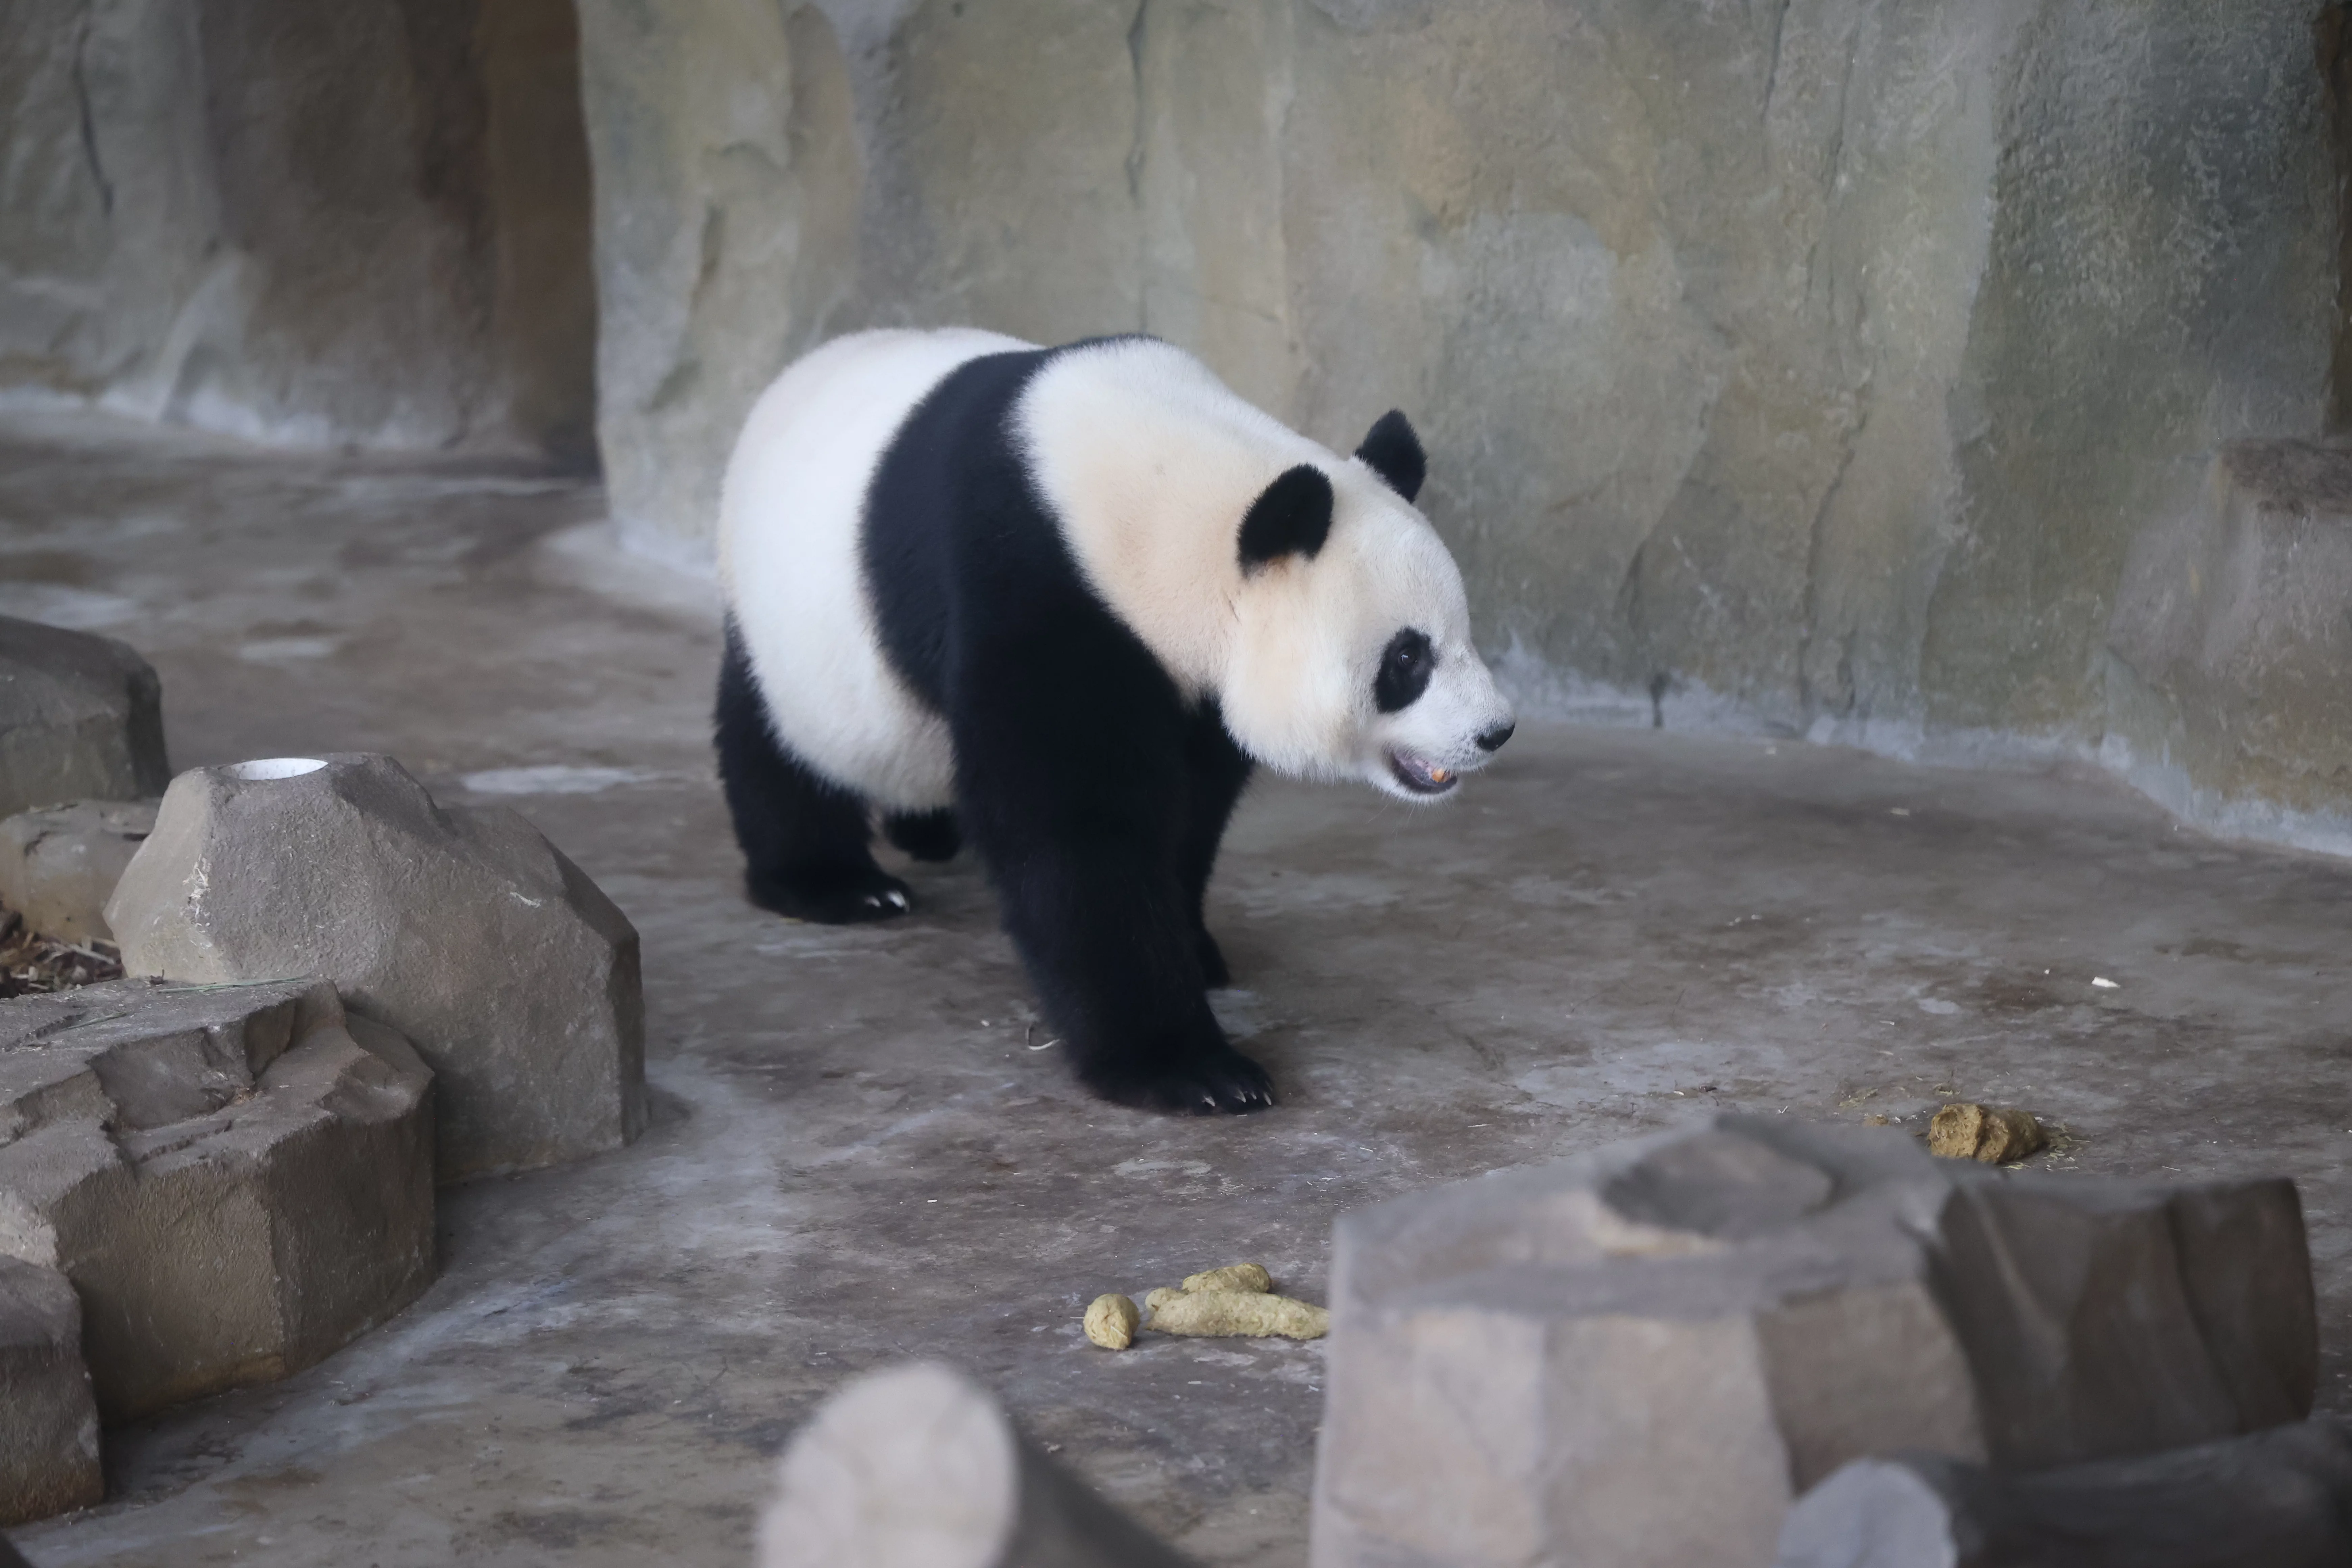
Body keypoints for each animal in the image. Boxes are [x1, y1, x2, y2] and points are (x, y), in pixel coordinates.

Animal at [715, 329, 1516, 1114]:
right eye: (1408, 657)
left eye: (1463, 633)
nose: (1496, 731)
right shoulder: (1039, 586)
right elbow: (1078, 833)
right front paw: (1193, 1069)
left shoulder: (1191, 679)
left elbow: (1191, 810)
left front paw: (1196, 951)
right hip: (795, 636)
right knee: (780, 746)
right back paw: (836, 885)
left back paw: (927, 833)